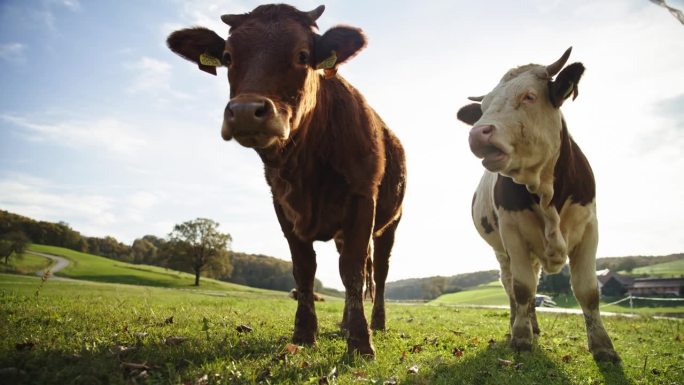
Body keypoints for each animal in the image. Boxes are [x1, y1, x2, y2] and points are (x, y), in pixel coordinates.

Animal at [168, 3, 404, 356]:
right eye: (227, 57)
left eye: (302, 55)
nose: (245, 111)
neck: (306, 167)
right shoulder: (282, 205)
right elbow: (304, 269)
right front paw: (304, 334)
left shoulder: (363, 198)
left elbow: (352, 271)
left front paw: (361, 343)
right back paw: (344, 322)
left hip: (390, 222)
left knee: (379, 270)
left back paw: (377, 322)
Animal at [456, 48, 624, 364]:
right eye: (483, 107)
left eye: (529, 96)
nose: (477, 133)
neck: (545, 192)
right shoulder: (512, 233)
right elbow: (522, 288)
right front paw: (521, 338)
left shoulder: (589, 229)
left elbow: (588, 291)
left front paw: (603, 346)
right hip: (502, 252)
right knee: (511, 285)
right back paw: (520, 324)